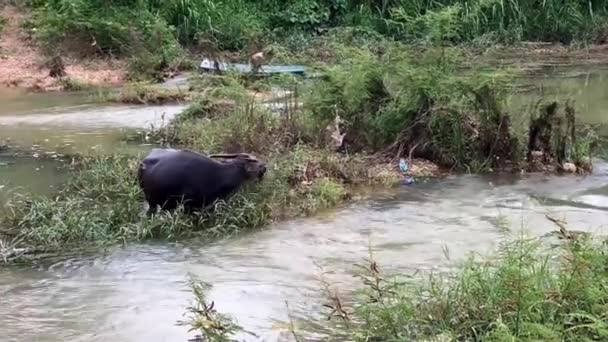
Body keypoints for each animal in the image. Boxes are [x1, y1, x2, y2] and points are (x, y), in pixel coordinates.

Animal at [138, 148, 266, 215]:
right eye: (255, 161)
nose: (265, 166)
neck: (218, 175)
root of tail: (143, 163)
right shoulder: (188, 204)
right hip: (151, 200)